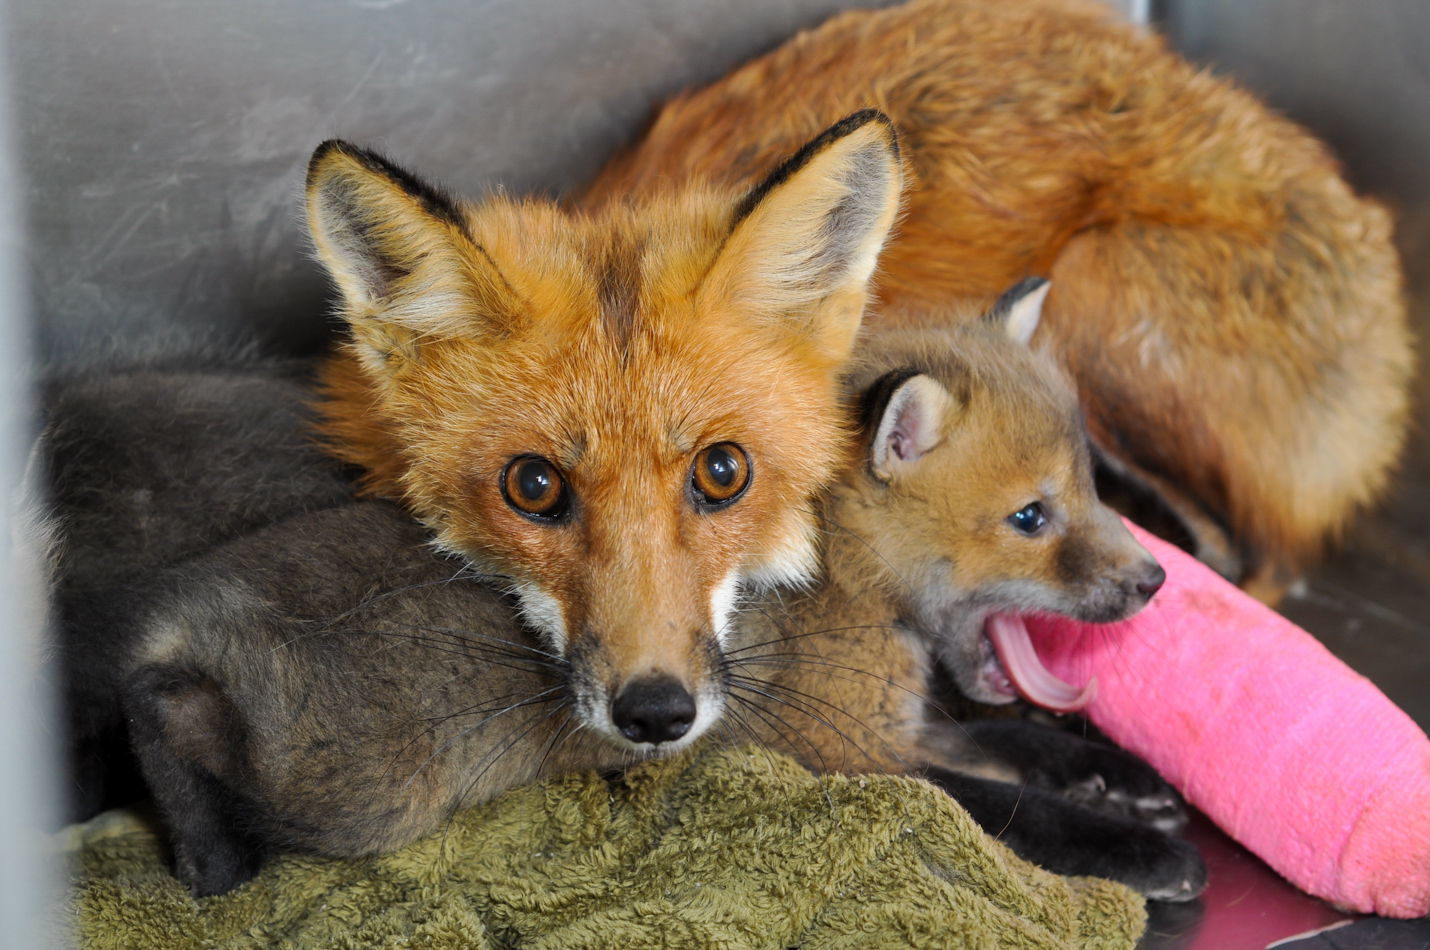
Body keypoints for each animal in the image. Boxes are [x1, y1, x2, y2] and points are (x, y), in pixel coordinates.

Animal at [90, 280, 1199, 900]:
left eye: (1094, 488)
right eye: (1032, 517)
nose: (1153, 581)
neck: (848, 592)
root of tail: (182, 612)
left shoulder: (896, 724)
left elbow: (1026, 747)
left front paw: (1122, 775)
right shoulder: (847, 755)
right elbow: (1011, 810)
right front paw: (1144, 849)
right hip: (357, 794)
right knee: (162, 706)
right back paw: (209, 859)